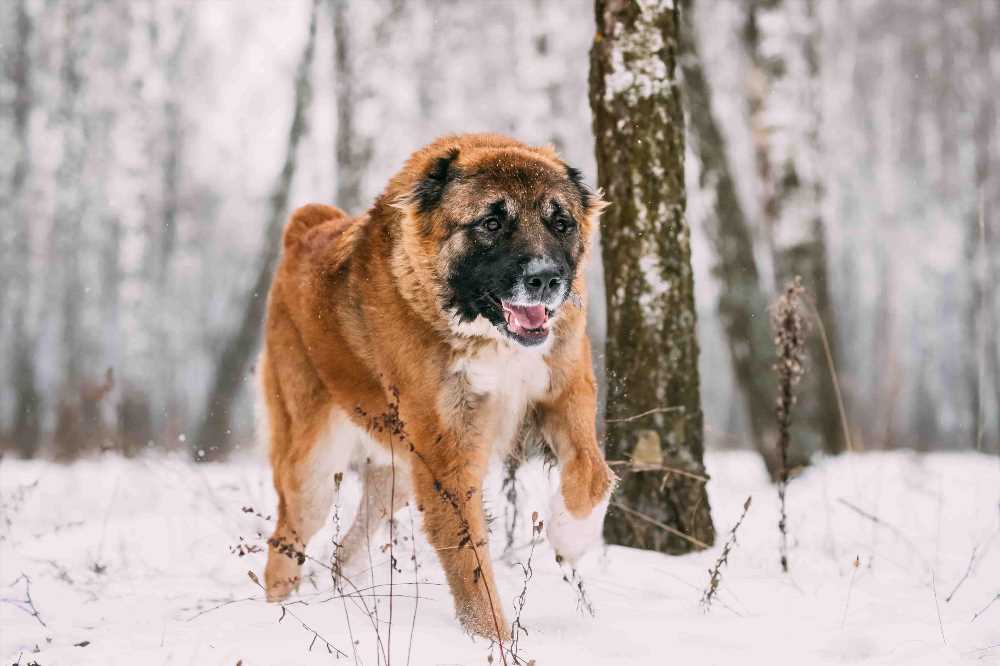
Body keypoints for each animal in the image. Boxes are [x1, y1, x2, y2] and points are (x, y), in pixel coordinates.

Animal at [260, 132, 616, 636]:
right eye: (491, 222)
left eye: (560, 223)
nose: (546, 278)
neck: (485, 333)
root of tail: (306, 228)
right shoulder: (447, 456)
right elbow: (471, 565)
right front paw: (493, 640)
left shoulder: (566, 392)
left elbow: (593, 474)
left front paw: (571, 537)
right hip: (314, 467)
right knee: (283, 545)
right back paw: (280, 616)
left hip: (399, 471)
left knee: (346, 548)